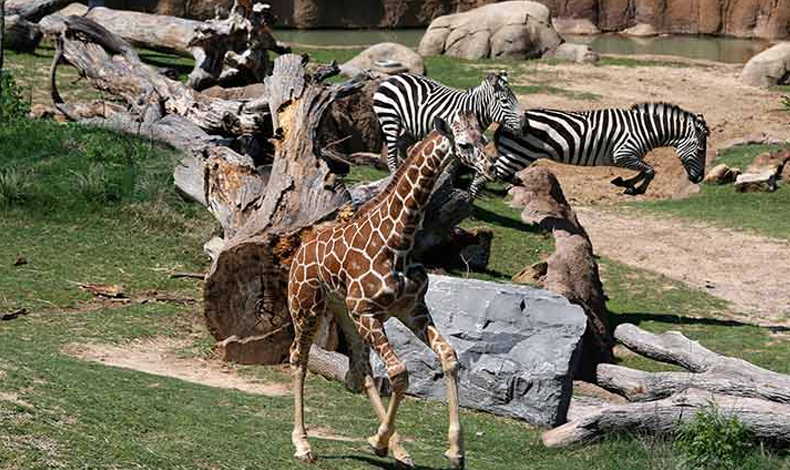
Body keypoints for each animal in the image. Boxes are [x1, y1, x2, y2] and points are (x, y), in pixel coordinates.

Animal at [284, 111, 496, 470]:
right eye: (465, 143)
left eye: (484, 137)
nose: (493, 167)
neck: (400, 240)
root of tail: (300, 249)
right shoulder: (369, 311)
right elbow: (399, 373)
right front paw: (377, 439)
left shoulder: (412, 309)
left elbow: (449, 357)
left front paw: (455, 451)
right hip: (306, 306)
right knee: (299, 357)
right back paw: (303, 444)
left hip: (345, 311)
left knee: (360, 369)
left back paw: (398, 449)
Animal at [372, 71, 524, 189]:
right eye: (504, 101)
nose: (524, 123)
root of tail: (394, 77)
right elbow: (451, 165)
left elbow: (457, 164)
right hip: (389, 119)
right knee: (392, 155)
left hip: (411, 128)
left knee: (402, 146)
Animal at [496, 103, 712, 196]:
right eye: (701, 150)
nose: (699, 178)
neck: (646, 129)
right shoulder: (623, 154)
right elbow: (651, 170)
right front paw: (635, 189)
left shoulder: (631, 157)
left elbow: (646, 171)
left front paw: (625, 183)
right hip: (519, 154)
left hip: (514, 154)